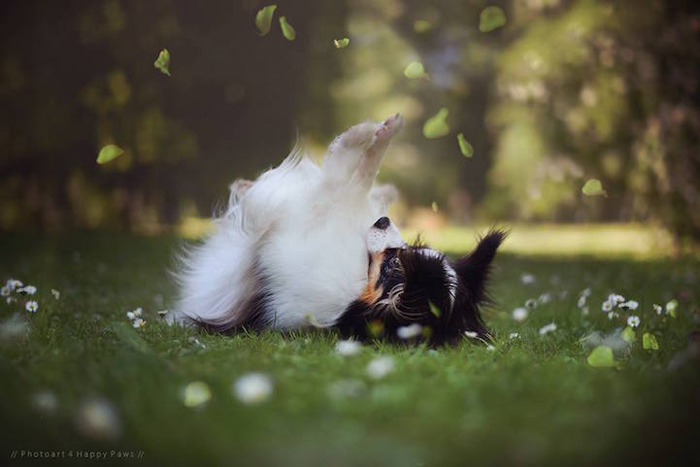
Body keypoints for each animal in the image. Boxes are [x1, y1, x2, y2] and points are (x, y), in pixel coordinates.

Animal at [172, 114, 506, 346]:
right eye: (408, 250)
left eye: (394, 264)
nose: (383, 221)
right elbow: (362, 176)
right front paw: (385, 132)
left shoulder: (304, 221)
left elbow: (338, 178)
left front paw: (359, 137)